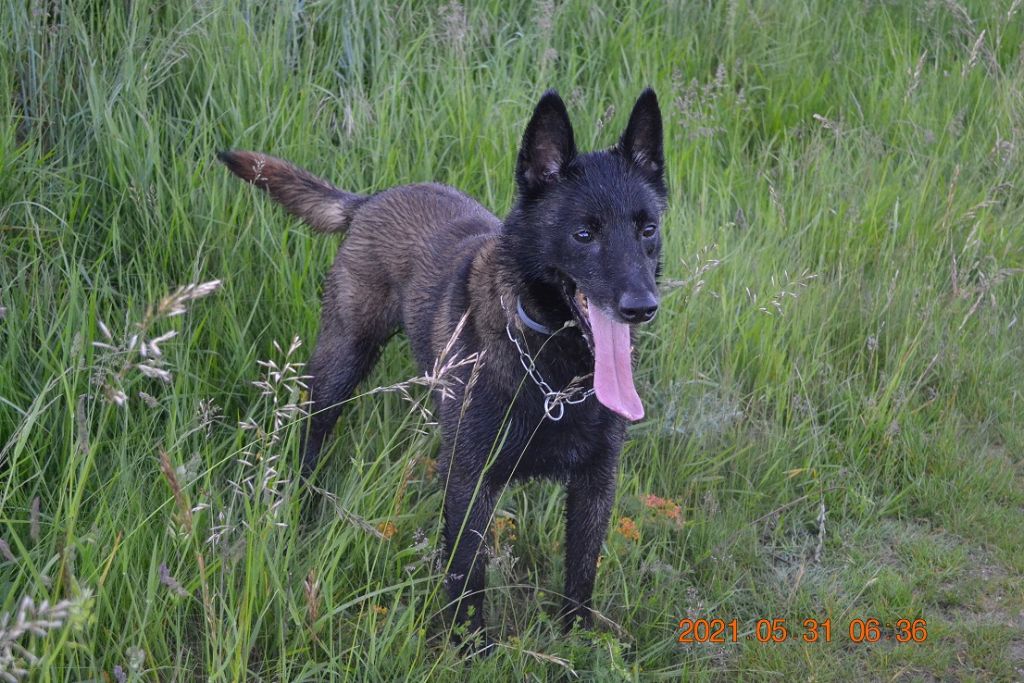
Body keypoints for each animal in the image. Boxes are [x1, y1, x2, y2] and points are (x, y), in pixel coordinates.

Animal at [220, 88, 667, 643]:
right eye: (584, 234)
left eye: (647, 229)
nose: (641, 306)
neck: (553, 375)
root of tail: (371, 200)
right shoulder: (471, 481)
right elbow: (468, 578)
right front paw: (469, 648)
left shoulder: (596, 481)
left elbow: (580, 576)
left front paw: (577, 642)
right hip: (341, 364)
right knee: (312, 439)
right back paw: (304, 513)